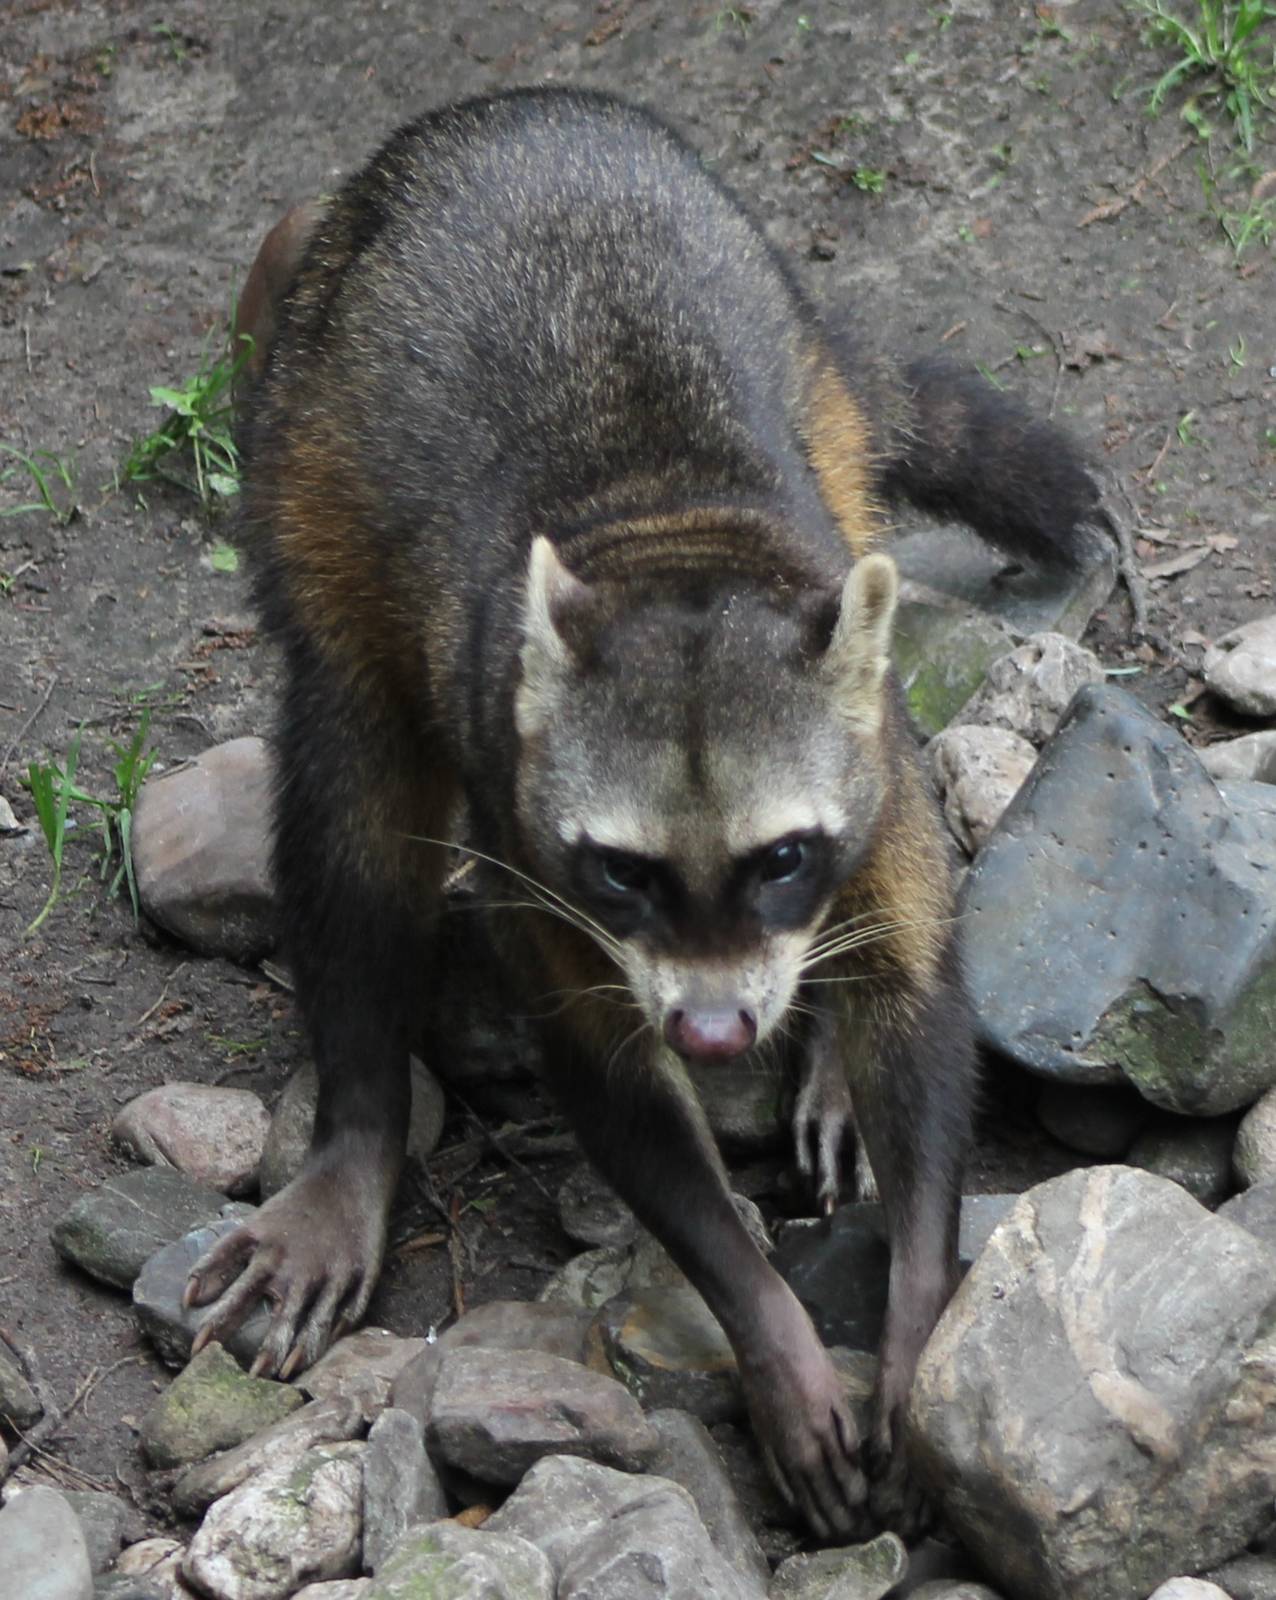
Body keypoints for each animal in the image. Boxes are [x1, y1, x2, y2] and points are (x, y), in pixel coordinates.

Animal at [186, 87, 1100, 1536]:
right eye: (626, 871)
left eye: (783, 857)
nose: (718, 1033)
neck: (670, 538)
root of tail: (505, 110)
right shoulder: (525, 826)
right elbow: (608, 1066)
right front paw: (769, 1327)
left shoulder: (880, 764)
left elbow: (916, 992)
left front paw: (915, 1305)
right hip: (304, 454)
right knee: (352, 801)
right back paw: (359, 1119)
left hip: (810, 380)